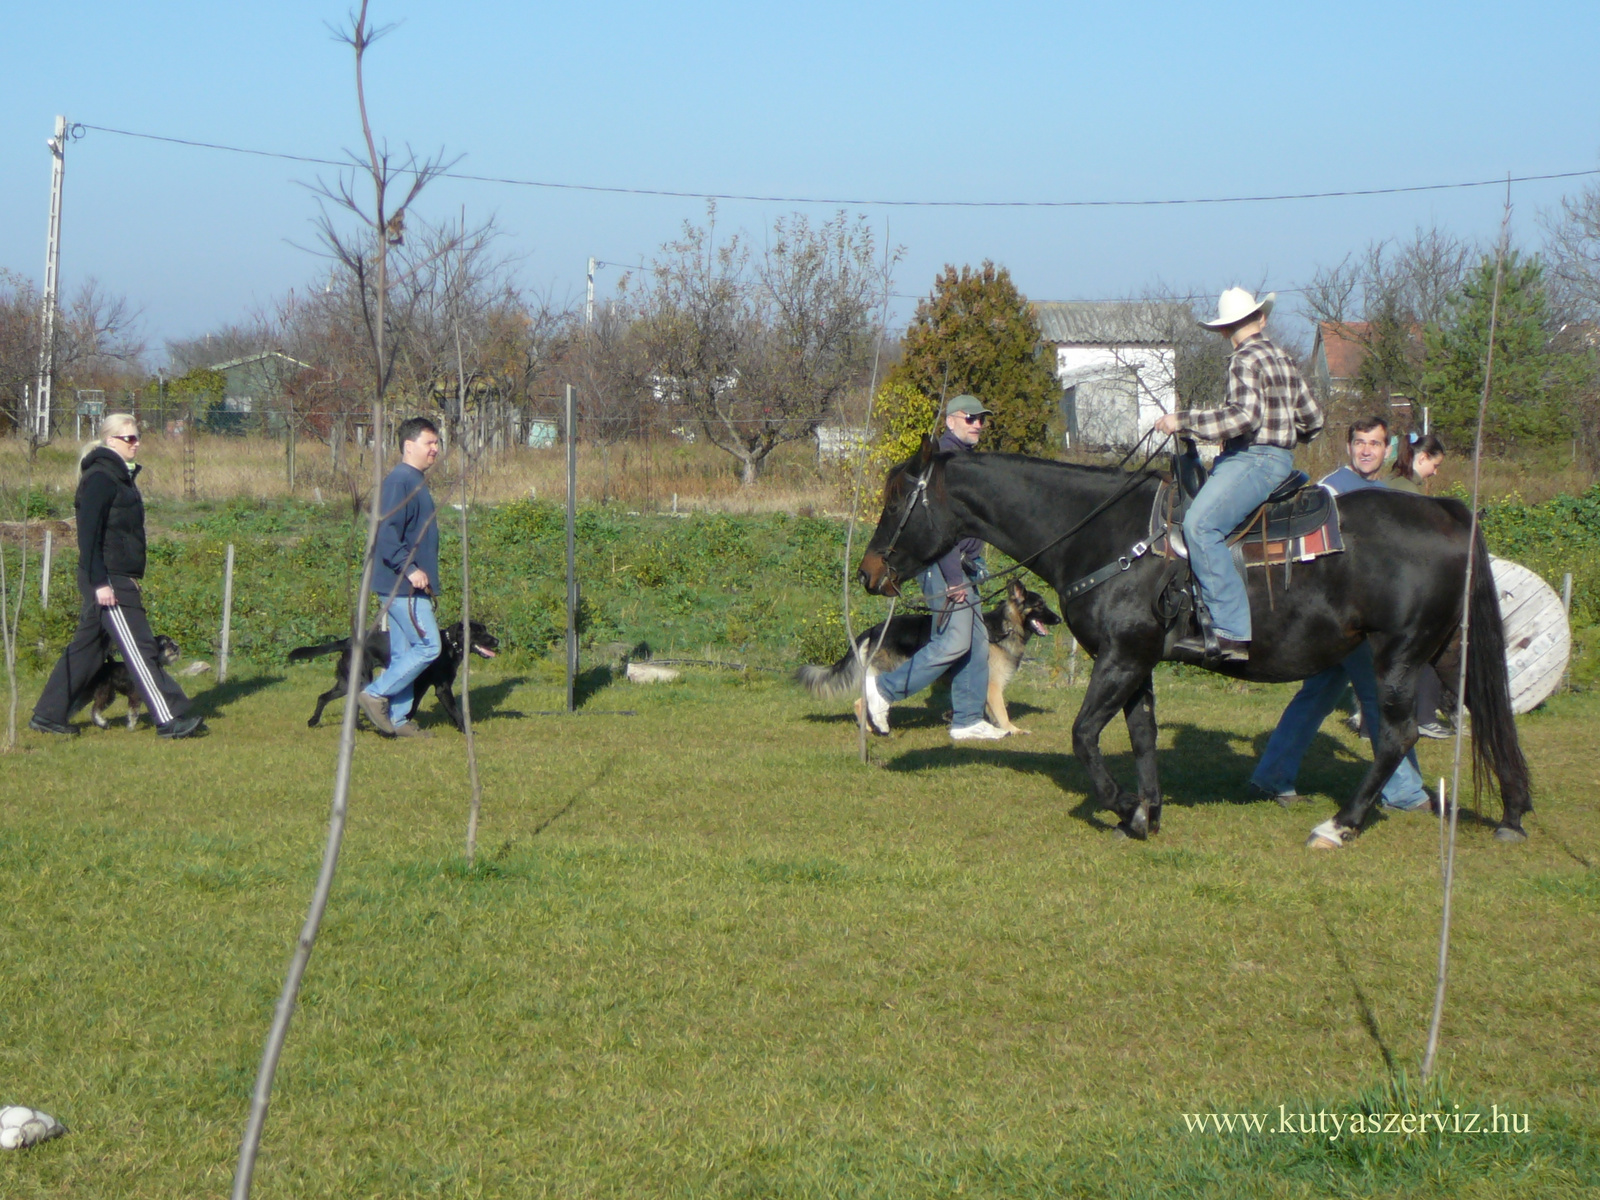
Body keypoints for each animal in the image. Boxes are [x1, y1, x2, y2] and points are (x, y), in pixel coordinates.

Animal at [291, 620, 496, 732]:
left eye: (485, 629)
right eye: (478, 632)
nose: (497, 640)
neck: (449, 646)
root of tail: (348, 641)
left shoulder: (420, 685)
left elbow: (412, 707)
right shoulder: (442, 688)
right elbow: (455, 711)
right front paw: (466, 731)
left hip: (346, 682)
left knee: (324, 697)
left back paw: (317, 722)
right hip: (361, 679)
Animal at [793, 579, 1056, 739]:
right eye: (1039, 605)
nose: (1059, 619)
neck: (1005, 627)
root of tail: (875, 628)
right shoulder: (993, 685)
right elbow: (1002, 711)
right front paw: (1012, 730)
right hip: (897, 671)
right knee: (864, 699)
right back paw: (871, 727)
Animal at [857, 438, 1529, 844]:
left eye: (898, 499)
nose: (869, 572)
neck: (1107, 536)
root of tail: (1449, 514)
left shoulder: (1120, 657)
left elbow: (1084, 735)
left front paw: (1121, 804)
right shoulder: (1136, 661)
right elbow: (1142, 735)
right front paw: (1145, 812)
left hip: (1400, 655)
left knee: (1397, 734)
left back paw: (1340, 824)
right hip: (1446, 651)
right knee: (1491, 718)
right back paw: (1514, 814)